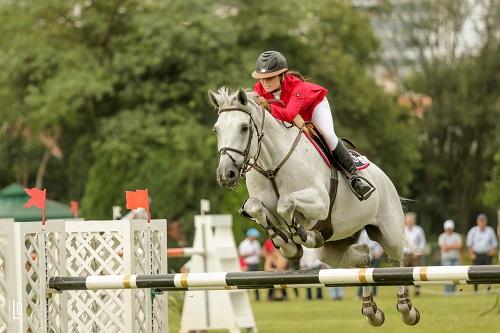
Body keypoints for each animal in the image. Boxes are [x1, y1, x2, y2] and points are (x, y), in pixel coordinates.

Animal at [209, 87, 420, 326]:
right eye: (216, 130)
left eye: (244, 127)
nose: (225, 175)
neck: (272, 165)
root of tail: (385, 178)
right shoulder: (262, 204)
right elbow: (256, 207)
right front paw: (287, 244)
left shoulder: (319, 203)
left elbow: (286, 203)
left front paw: (299, 237)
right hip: (333, 249)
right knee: (363, 259)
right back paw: (371, 311)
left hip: (388, 233)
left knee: (397, 259)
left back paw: (406, 309)